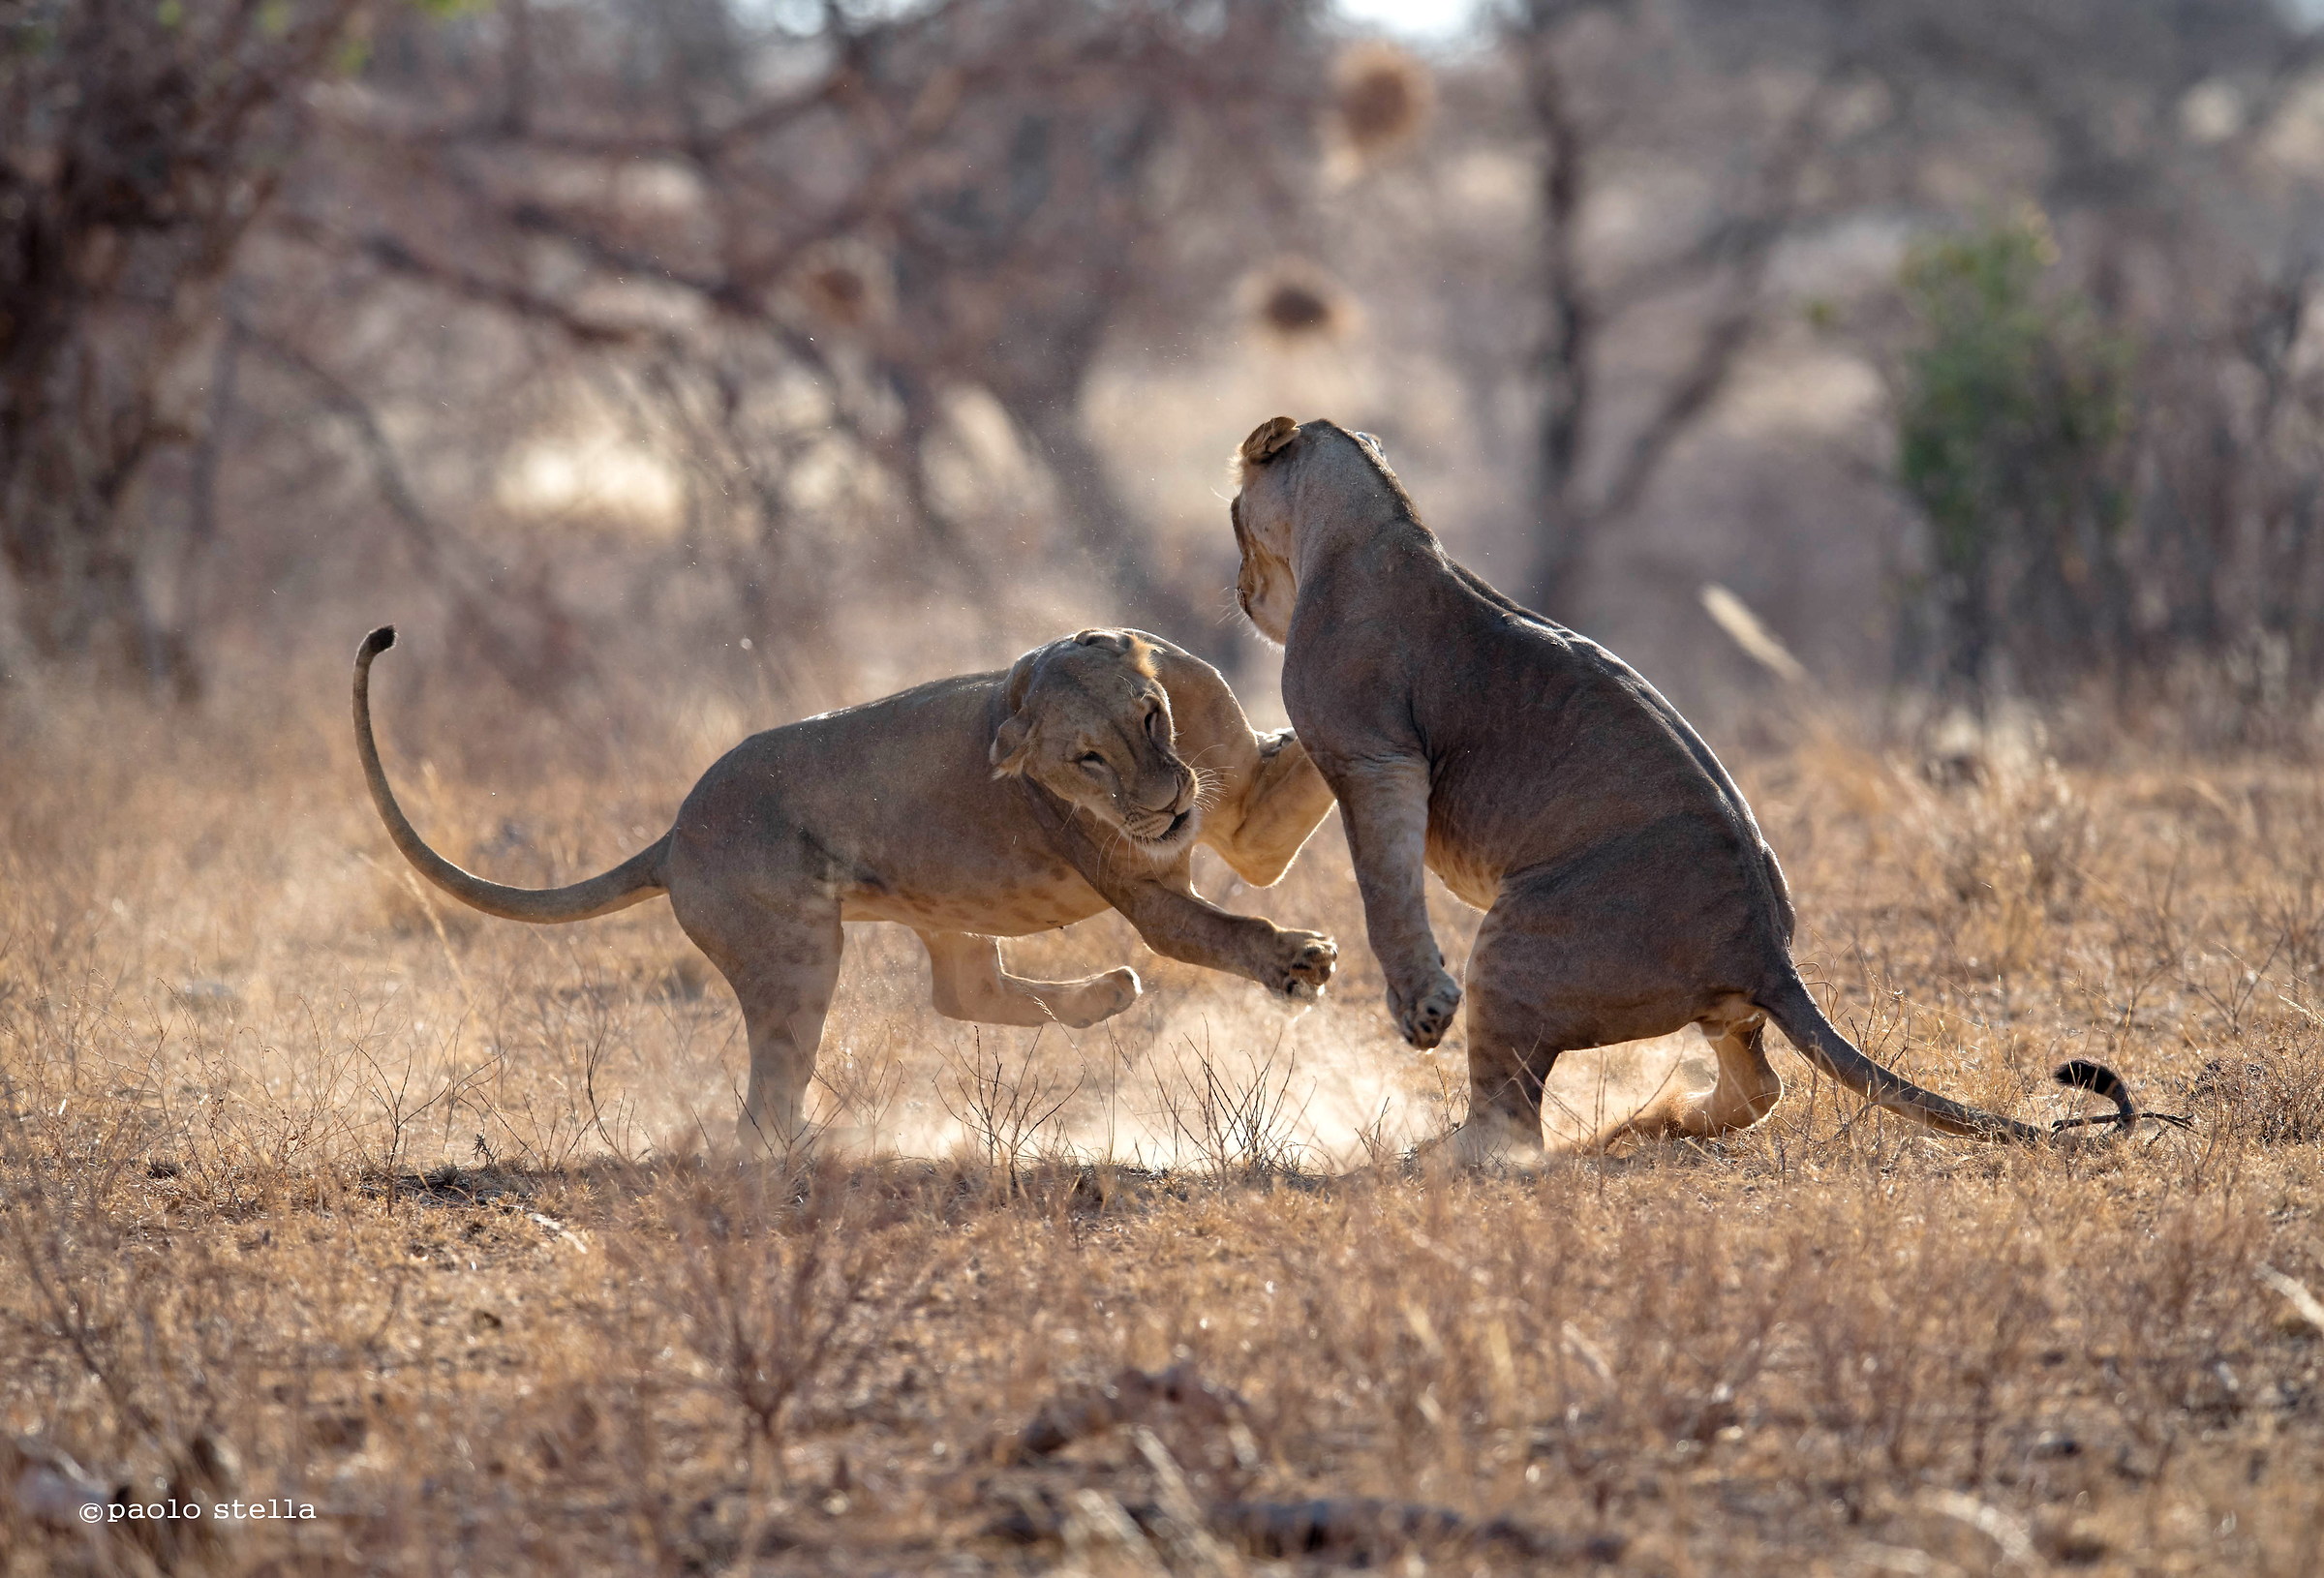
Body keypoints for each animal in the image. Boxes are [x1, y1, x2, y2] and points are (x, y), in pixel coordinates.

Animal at [353, 625, 1339, 1150]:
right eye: (1086, 759)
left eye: (1150, 717)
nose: (1168, 801)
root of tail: (674, 834)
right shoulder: (1151, 888)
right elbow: (1220, 932)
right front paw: (1299, 962)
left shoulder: (1248, 813)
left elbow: (1304, 773)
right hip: (797, 955)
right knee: (767, 1105)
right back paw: (824, 1152)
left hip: (949, 907)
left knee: (962, 992)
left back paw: (1106, 997)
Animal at [1227, 415, 2157, 1163]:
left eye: (1234, 516)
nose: (1235, 595)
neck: (1366, 522)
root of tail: (1766, 948)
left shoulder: (1377, 755)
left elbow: (1383, 884)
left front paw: (1418, 1005)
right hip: (1723, 1006)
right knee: (1759, 1088)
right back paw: (1655, 1120)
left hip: (1519, 945)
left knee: (1512, 1128)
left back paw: (1435, 1158)